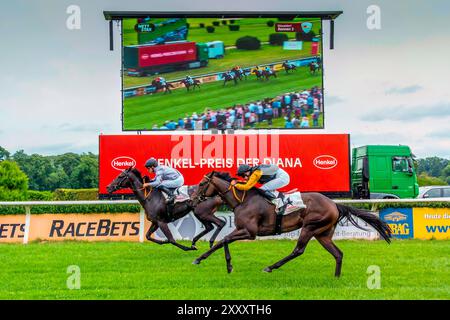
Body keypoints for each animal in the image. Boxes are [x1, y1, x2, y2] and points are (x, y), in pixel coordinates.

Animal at [190, 172, 390, 276]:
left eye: (201, 184)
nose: (192, 200)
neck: (243, 200)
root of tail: (334, 204)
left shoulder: (249, 231)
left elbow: (222, 241)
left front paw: (200, 258)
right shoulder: (241, 229)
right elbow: (224, 241)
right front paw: (229, 265)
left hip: (310, 227)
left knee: (298, 250)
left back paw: (270, 267)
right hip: (322, 233)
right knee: (338, 253)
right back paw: (336, 277)